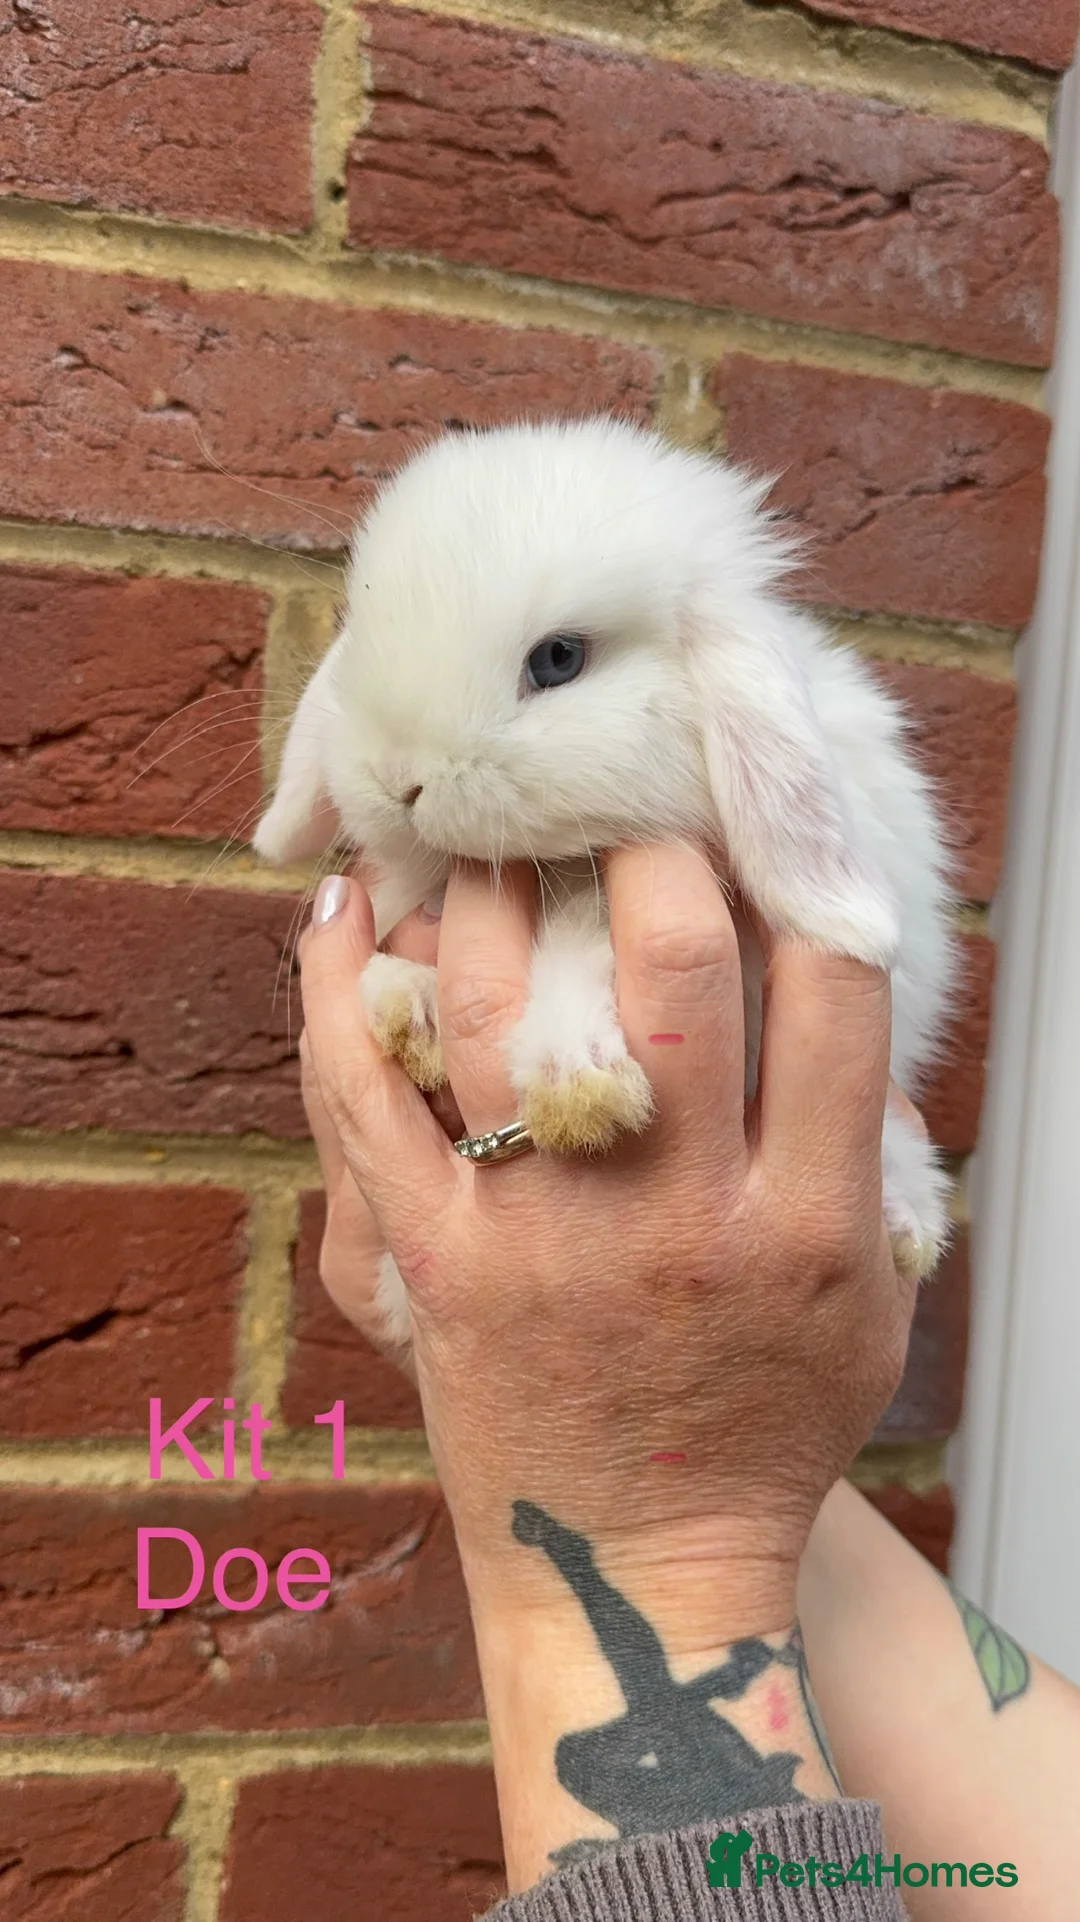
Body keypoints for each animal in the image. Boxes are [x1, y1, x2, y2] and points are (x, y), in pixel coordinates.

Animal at [254, 417, 957, 1352]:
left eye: (559, 658)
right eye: (357, 631)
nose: (397, 779)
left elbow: (584, 941)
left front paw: (578, 1088)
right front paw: (409, 1007)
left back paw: (909, 1217)